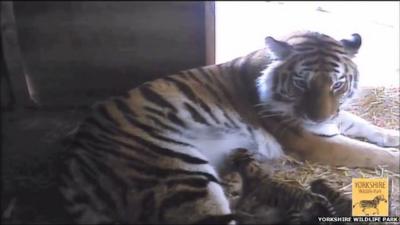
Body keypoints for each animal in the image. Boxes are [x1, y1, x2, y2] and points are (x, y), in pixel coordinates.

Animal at [60, 30, 400, 224]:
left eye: (338, 84)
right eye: (301, 84)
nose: (318, 118)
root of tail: (75, 160)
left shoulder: (330, 122)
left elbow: (365, 127)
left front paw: (392, 135)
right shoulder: (312, 140)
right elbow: (368, 152)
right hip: (183, 176)